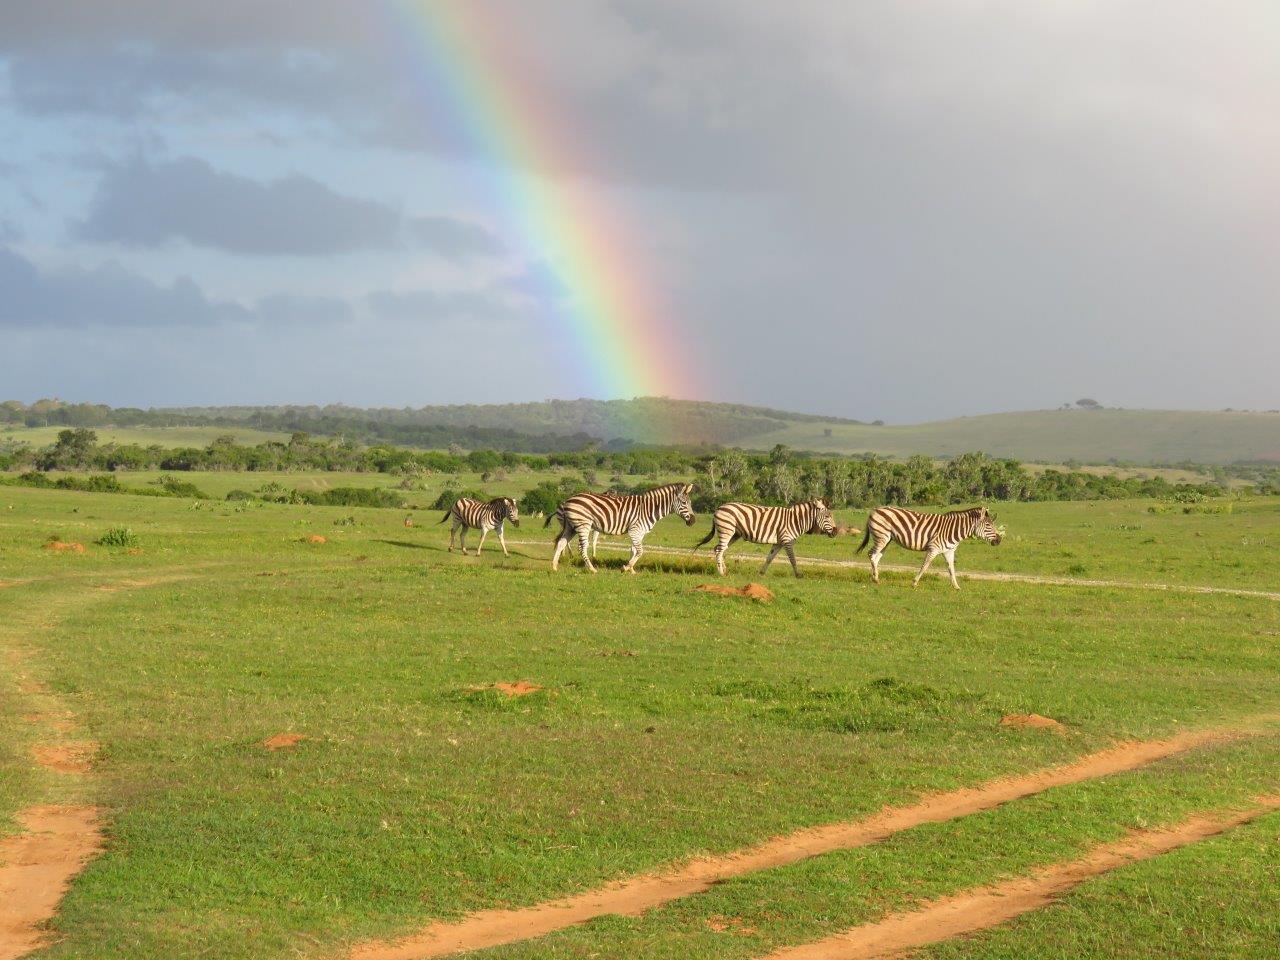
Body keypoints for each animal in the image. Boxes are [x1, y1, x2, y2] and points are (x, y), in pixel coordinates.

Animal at [545, 483, 696, 576]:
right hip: (583, 525)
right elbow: (640, 551)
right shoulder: (635, 530)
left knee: (561, 543)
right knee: (581, 547)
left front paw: (632, 570)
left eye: (690, 503)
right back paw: (592, 569)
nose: (693, 521)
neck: (648, 509)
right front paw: (626, 568)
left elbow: (634, 550)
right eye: (684, 503)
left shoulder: (639, 532)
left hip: (571, 526)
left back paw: (554, 566)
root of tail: (568, 500)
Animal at [696, 504, 834, 578]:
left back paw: (725, 570)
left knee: (719, 549)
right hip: (727, 530)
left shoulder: (778, 543)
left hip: (733, 534)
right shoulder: (787, 541)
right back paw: (721, 573)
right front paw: (798, 574)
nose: (836, 531)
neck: (795, 521)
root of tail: (719, 507)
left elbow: (770, 558)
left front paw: (761, 573)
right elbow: (793, 559)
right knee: (719, 550)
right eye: (827, 516)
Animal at [860, 506, 998, 591]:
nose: (999, 540)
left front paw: (956, 586)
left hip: (886, 539)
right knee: (871, 554)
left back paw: (875, 578)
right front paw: (914, 583)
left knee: (876, 557)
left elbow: (951, 569)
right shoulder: (933, 548)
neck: (954, 530)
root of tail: (875, 510)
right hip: (881, 536)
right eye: (988, 525)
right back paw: (875, 579)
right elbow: (925, 566)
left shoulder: (949, 551)